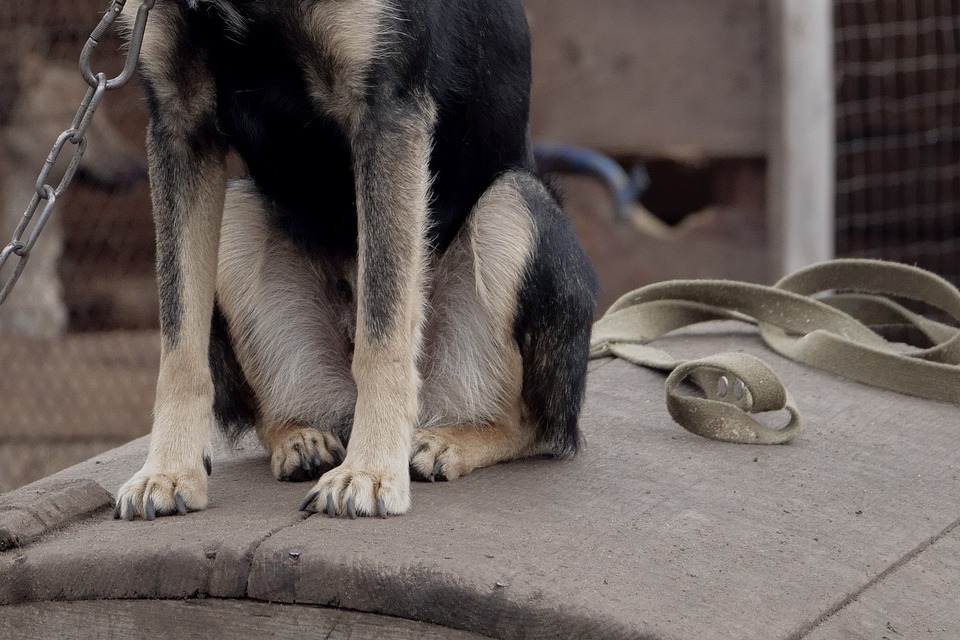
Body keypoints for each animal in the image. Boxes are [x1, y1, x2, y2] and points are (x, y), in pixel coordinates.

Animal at [114, 0, 600, 520]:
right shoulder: (179, 120)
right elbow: (179, 345)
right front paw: (168, 472)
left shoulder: (385, 110)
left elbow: (381, 332)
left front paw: (369, 472)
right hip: (236, 215)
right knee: (272, 415)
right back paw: (301, 440)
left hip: (514, 204)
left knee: (537, 426)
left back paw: (446, 443)